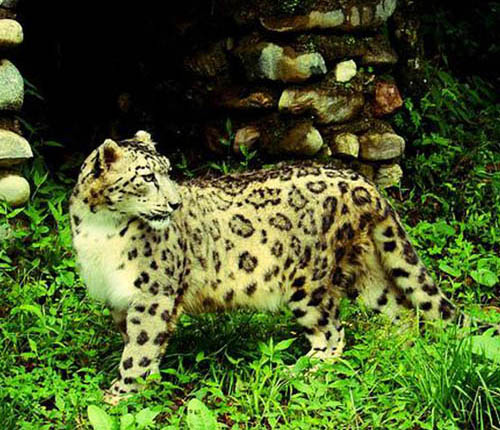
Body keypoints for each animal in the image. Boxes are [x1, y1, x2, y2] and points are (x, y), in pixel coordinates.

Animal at [70, 130, 458, 404]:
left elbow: (140, 345)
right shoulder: (118, 297)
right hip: (364, 271)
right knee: (400, 308)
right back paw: (396, 347)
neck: (100, 229)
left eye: (168, 172)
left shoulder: (153, 293)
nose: (175, 202)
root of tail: (362, 182)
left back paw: (300, 370)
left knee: (333, 331)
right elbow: (133, 340)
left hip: (308, 285)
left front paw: (121, 394)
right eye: (147, 176)